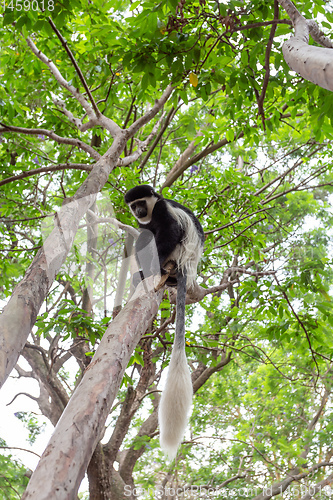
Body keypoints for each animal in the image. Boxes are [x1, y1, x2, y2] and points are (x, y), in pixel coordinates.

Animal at [124, 185, 204, 460]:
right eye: (133, 205)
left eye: (141, 202)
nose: (138, 210)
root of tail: (186, 268)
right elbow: (143, 230)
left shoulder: (162, 211)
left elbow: (170, 231)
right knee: (143, 235)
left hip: (177, 253)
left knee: (154, 238)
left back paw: (151, 270)